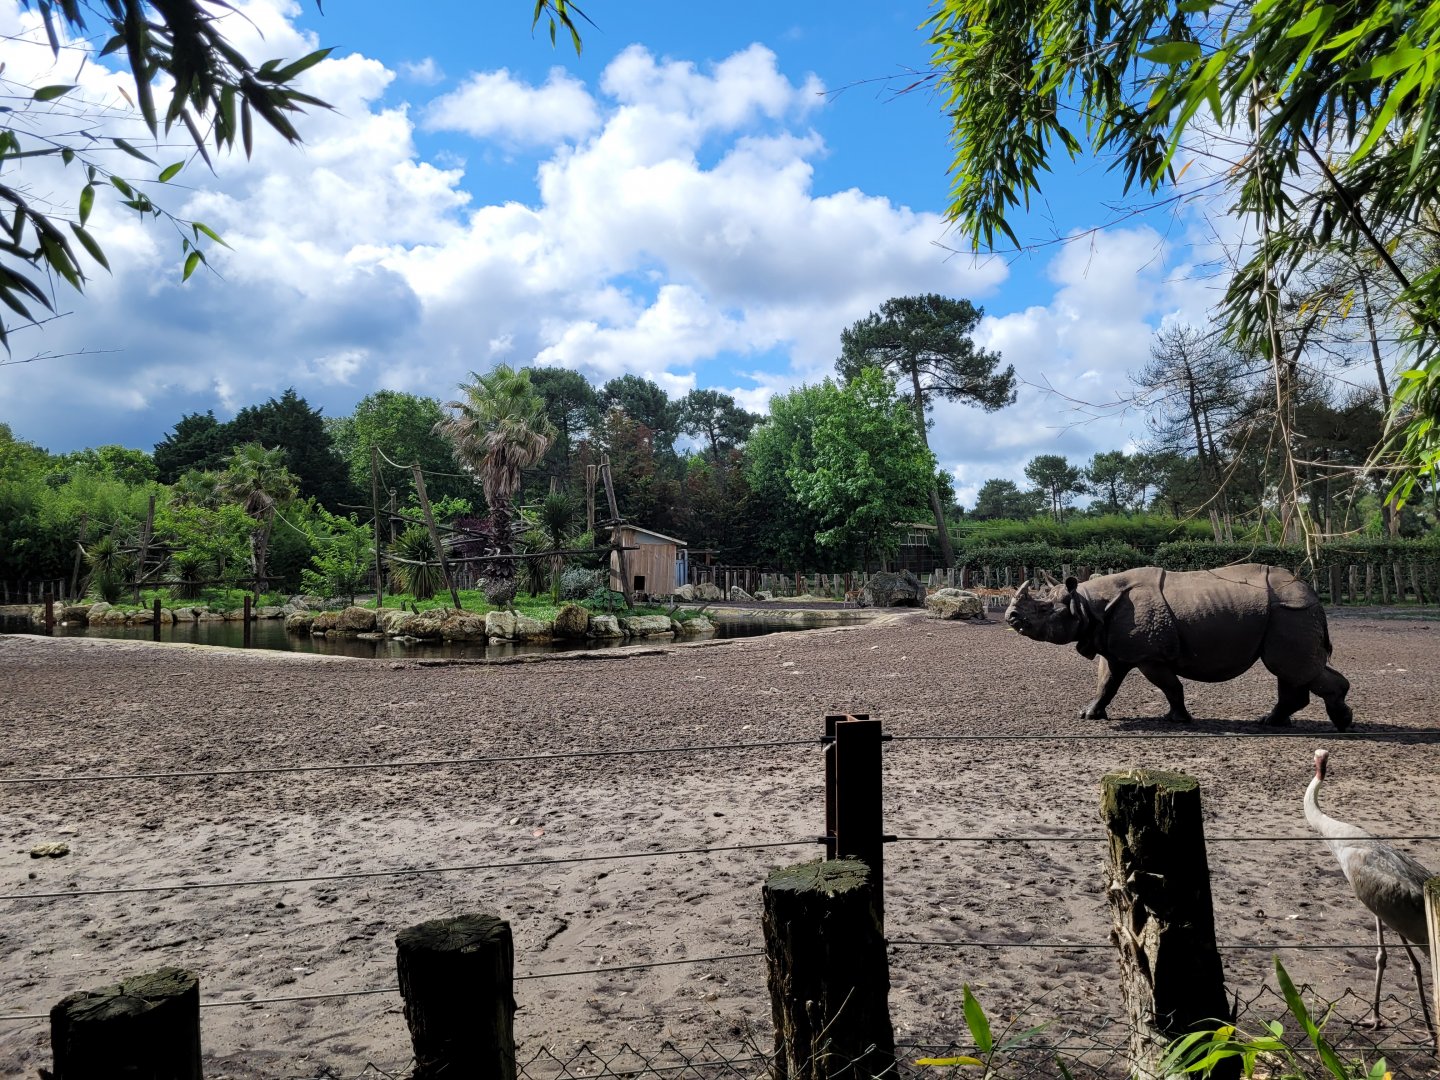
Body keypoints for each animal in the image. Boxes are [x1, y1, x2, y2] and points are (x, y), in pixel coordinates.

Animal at [1004, 563, 1352, 729]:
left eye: (1044, 609)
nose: (1010, 617)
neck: (1088, 604)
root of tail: (1312, 594)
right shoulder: (1115, 649)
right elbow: (1106, 683)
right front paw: (1088, 715)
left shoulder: (1149, 655)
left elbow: (1171, 686)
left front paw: (1178, 719)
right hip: (1287, 613)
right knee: (1292, 671)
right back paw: (1273, 722)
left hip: (1290, 612)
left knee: (1288, 667)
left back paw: (1342, 722)